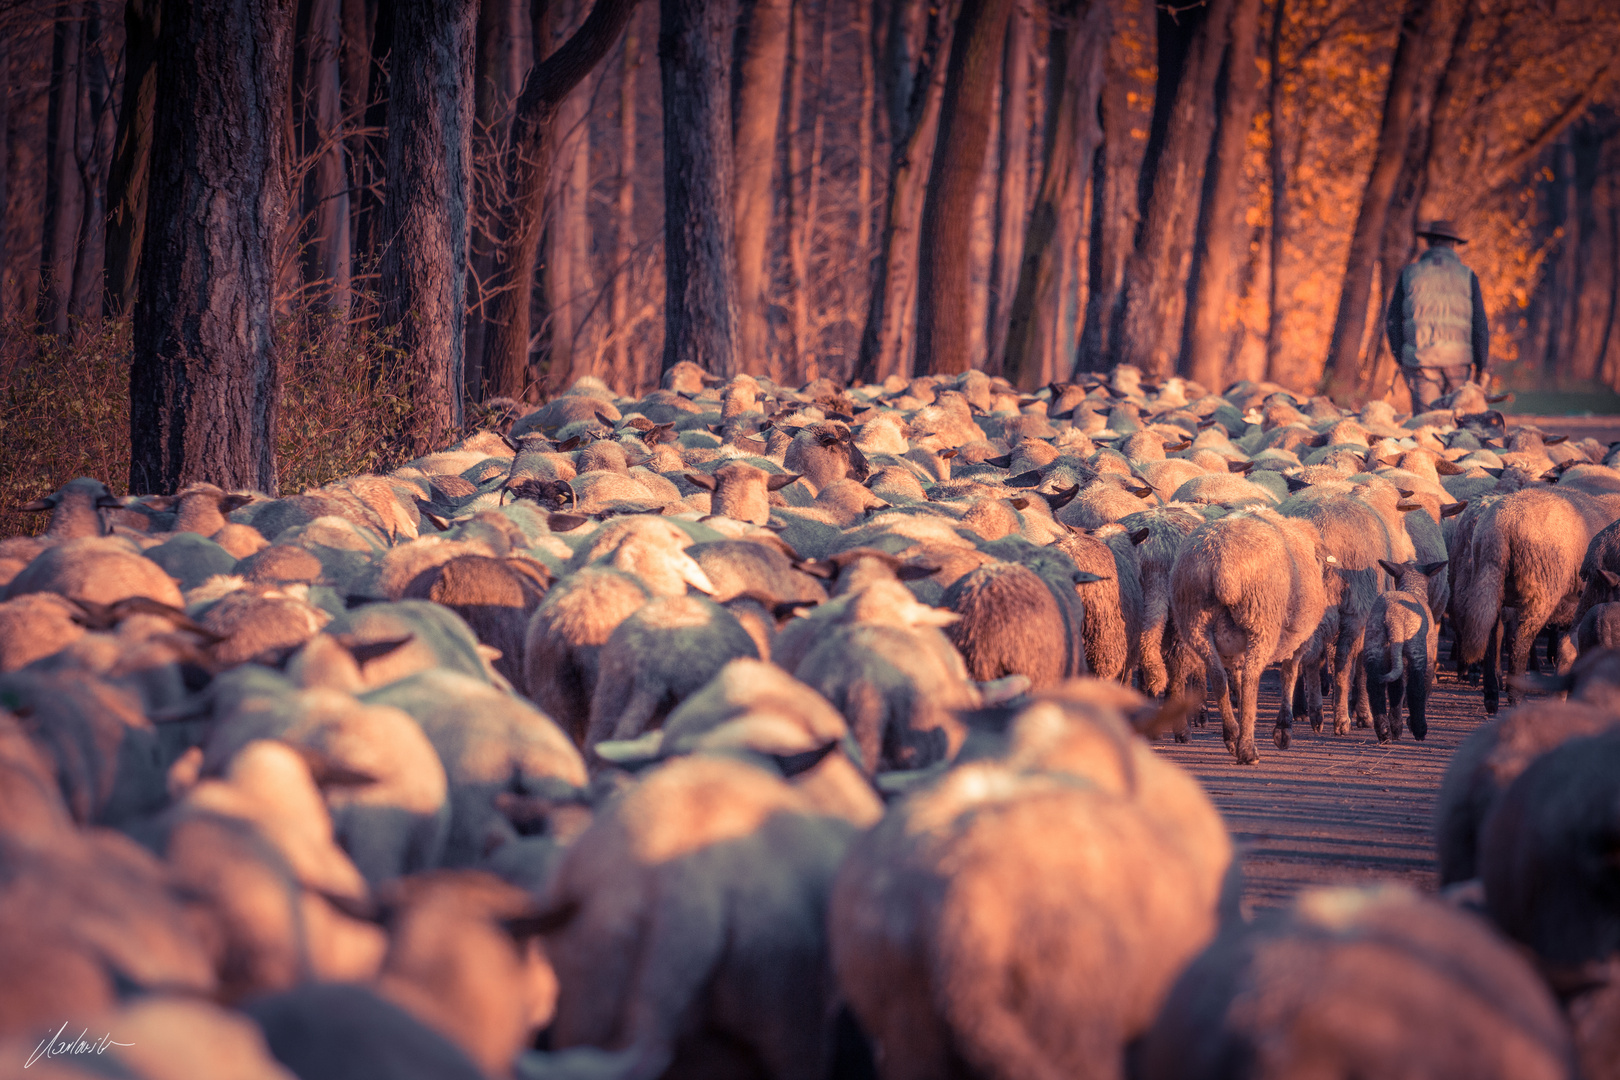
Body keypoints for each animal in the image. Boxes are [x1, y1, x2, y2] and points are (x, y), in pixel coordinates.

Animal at [1179, 505, 1328, 764]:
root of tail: (1222, 563)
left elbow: (1235, 679)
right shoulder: (1299, 641)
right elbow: (1289, 674)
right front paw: (1283, 730)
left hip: (1195, 623)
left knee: (1217, 676)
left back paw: (1232, 735)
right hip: (1261, 622)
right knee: (1251, 678)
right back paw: (1248, 749)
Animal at [1360, 557, 1451, 744]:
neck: (1412, 588)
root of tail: (1392, 617)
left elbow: (1396, 692)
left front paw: (1397, 727)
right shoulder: (1428, 654)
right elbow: (1424, 686)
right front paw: (1410, 725)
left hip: (1374, 645)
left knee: (1375, 685)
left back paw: (1385, 732)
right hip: (1416, 649)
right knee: (1416, 686)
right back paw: (1419, 730)